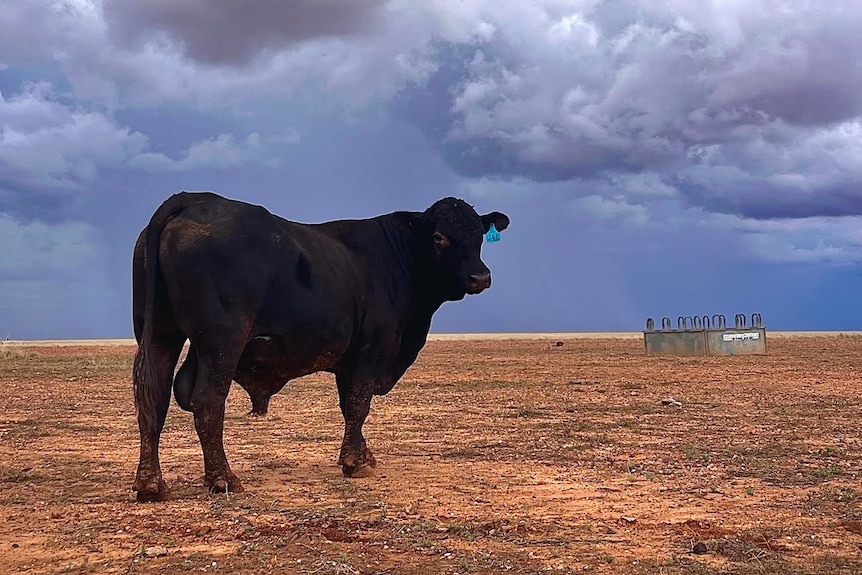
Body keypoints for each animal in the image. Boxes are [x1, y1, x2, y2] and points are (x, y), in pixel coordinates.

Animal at [131, 191, 510, 502]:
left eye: (479, 236)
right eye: (439, 236)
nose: (481, 277)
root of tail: (194, 199)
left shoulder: (349, 361)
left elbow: (349, 406)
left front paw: (363, 454)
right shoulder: (372, 351)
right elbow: (359, 405)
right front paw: (354, 462)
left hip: (160, 335)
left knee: (154, 397)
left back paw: (151, 484)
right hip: (221, 342)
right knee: (207, 400)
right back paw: (222, 478)